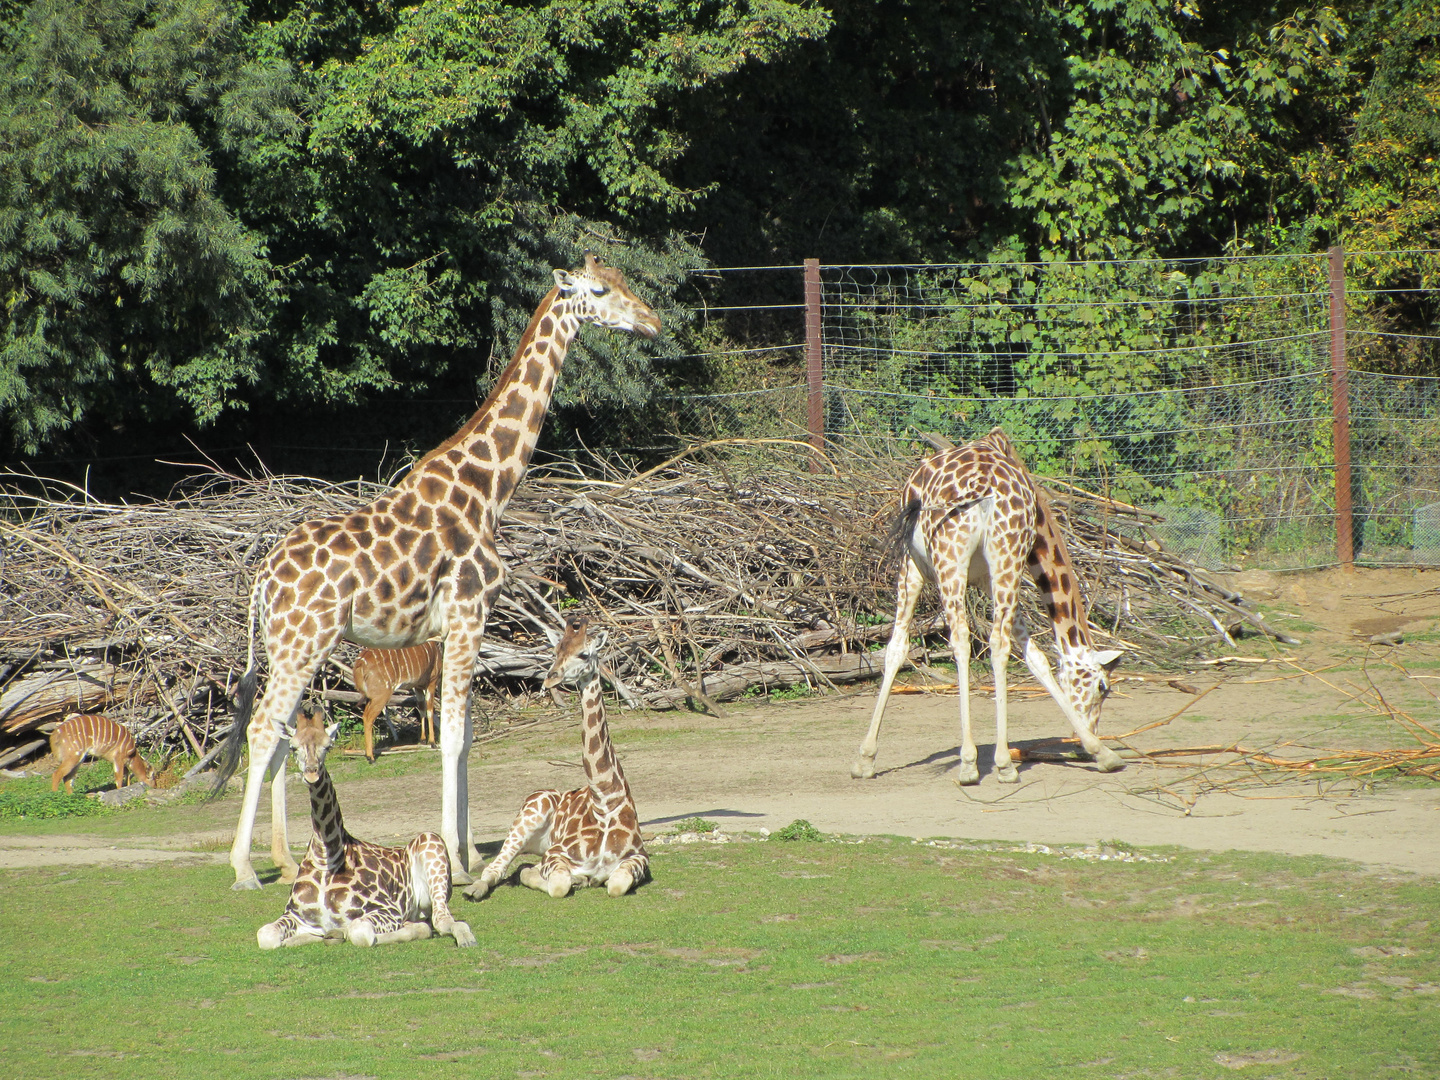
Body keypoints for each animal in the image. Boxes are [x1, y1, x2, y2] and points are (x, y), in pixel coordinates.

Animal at [259, 714, 478, 950]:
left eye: (327, 746)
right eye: (293, 747)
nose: (311, 773)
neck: (326, 857)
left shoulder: (388, 909)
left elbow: (359, 932)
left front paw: (342, 933)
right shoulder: (296, 915)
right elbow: (265, 935)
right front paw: (296, 939)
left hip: (432, 844)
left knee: (439, 922)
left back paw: (466, 938)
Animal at [463, 616, 650, 904]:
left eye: (583, 654)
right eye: (556, 650)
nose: (550, 679)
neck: (605, 800)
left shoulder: (638, 857)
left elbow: (616, 885)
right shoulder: (556, 854)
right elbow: (557, 885)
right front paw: (574, 879)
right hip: (527, 817)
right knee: (496, 868)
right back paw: (473, 890)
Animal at [846, 429, 1128, 789]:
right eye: (1103, 687)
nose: (1082, 741)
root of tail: (981, 490)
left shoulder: (979, 578)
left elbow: (1036, 659)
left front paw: (1101, 752)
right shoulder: (995, 575)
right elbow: (1031, 656)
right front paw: (1100, 751)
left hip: (941, 563)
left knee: (919, 643)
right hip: (985, 558)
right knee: (982, 643)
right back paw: (990, 763)